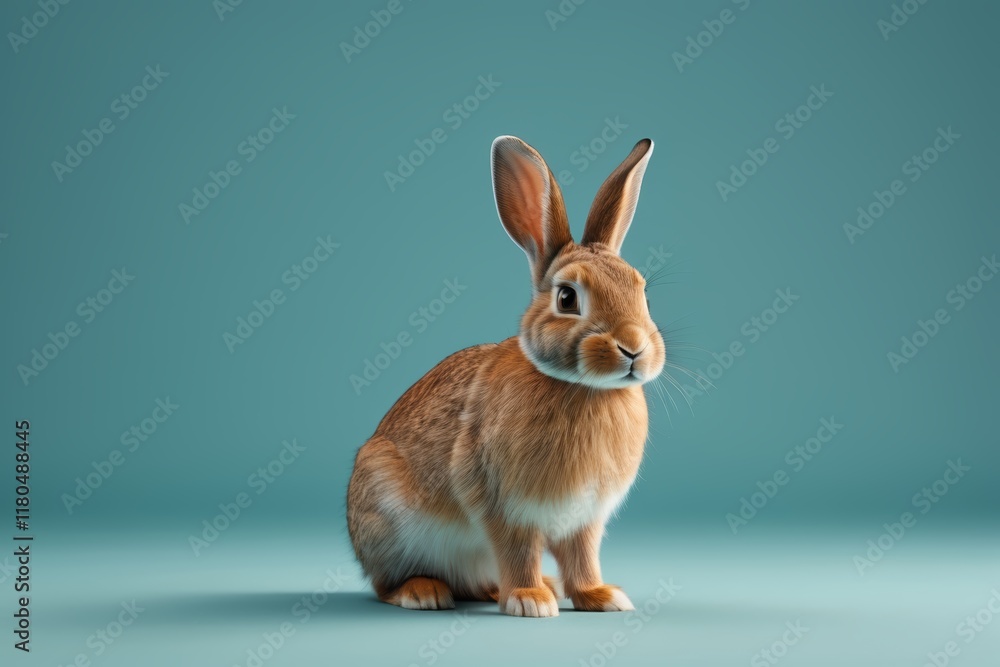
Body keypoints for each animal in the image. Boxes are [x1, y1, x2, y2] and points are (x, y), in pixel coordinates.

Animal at [347, 135, 664, 617]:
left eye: (641, 292)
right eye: (567, 298)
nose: (634, 348)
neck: (583, 389)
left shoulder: (586, 519)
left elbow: (583, 557)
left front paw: (601, 596)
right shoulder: (504, 507)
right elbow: (518, 551)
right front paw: (529, 600)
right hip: (386, 522)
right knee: (386, 584)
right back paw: (425, 592)